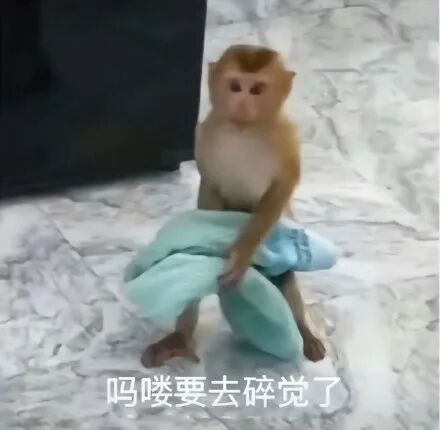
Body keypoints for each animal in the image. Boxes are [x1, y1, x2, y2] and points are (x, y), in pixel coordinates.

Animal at [141, 45, 326, 368]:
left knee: (286, 279)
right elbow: (209, 186)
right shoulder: (204, 133)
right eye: (235, 86)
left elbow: (281, 189)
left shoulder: (286, 138)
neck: (243, 130)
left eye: (257, 89)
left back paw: (304, 330)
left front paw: (240, 255)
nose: (242, 103)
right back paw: (180, 338)